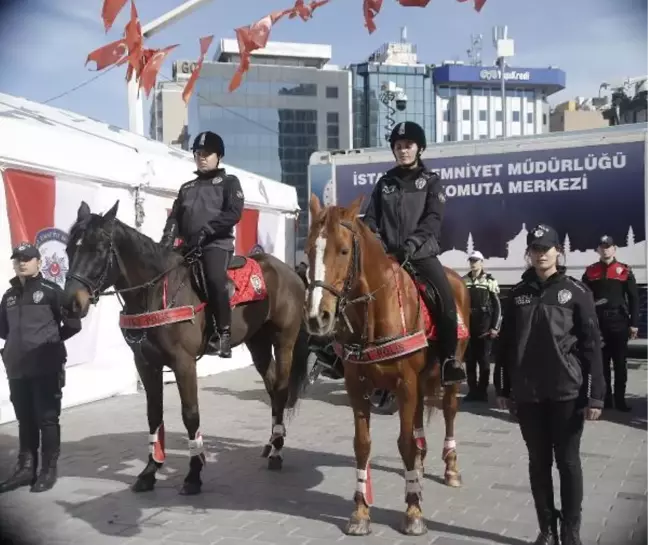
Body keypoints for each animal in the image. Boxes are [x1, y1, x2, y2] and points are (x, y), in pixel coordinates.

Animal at [62, 202, 310, 496]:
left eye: (98, 249)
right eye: (69, 248)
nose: (71, 303)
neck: (156, 292)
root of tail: (292, 273)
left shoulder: (183, 363)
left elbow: (190, 414)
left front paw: (193, 474)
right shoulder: (146, 363)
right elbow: (153, 414)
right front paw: (150, 471)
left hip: (284, 342)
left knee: (281, 391)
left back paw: (277, 452)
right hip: (258, 343)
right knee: (272, 389)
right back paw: (271, 442)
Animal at [304, 194, 470, 536]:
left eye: (344, 250)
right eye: (308, 249)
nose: (317, 317)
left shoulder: (405, 385)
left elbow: (404, 443)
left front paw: (414, 511)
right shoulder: (358, 387)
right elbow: (362, 445)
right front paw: (360, 513)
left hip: (451, 373)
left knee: (448, 411)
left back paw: (450, 467)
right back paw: (420, 466)